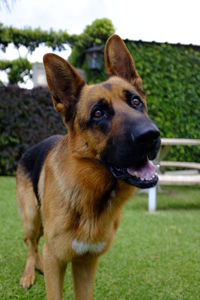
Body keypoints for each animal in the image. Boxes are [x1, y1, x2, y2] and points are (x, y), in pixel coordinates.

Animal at [17, 34, 161, 298]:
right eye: (98, 113)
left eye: (136, 101)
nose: (151, 136)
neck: (93, 195)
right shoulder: (56, 260)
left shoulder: (85, 262)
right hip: (31, 217)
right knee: (31, 245)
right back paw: (29, 274)